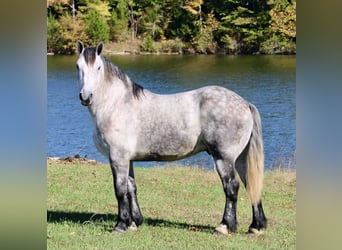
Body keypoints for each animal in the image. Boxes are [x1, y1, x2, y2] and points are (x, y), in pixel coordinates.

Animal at [75, 40, 268, 234]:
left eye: (98, 67)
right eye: (78, 66)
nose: (85, 96)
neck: (117, 104)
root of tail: (245, 103)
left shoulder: (117, 157)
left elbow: (120, 190)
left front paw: (121, 225)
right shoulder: (127, 159)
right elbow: (131, 188)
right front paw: (134, 222)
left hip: (224, 158)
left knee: (231, 186)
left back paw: (225, 226)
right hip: (241, 158)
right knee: (250, 184)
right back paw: (256, 226)